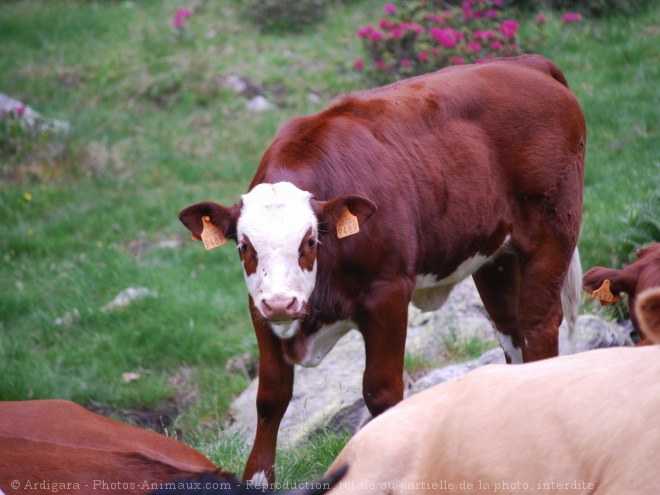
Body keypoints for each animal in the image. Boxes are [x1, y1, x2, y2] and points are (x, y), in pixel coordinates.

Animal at [178, 54, 584, 484]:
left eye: (309, 242)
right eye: (244, 246)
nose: (282, 303)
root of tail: (527, 62)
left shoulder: (388, 293)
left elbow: (381, 392)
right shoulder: (258, 306)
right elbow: (271, 395)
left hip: (552, 234)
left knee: (538, 328)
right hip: (495, 258)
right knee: (511, 332)